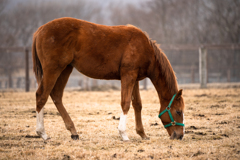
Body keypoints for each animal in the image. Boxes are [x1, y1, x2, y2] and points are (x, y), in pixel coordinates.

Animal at [31, 17, 185, 141]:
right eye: (178, 111)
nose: (180, 135)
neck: (144, 48)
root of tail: (40, 30)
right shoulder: (128, 76)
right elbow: (125, 103)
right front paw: (123, 134)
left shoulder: (134, 79)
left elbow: (137, 104)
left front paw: (142, 134)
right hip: (53, 70)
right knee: (41, 96)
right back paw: (42, 133)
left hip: (65, 69)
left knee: (56, 95)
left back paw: (73, 131)